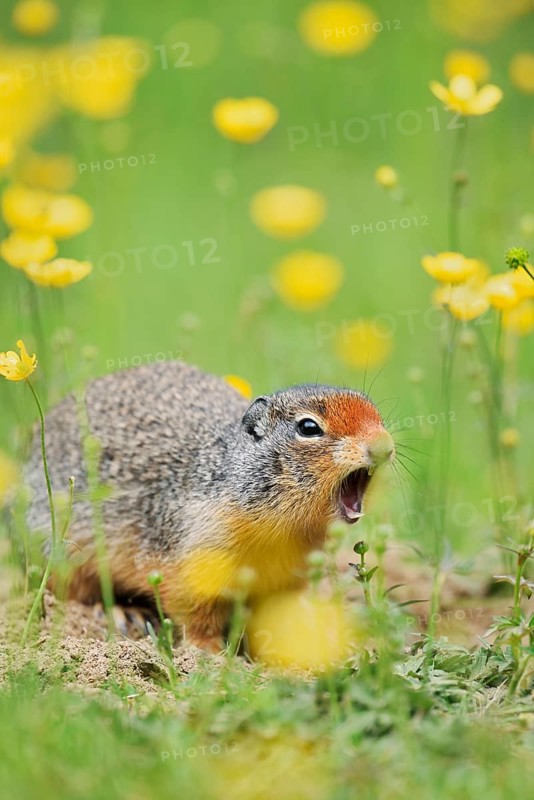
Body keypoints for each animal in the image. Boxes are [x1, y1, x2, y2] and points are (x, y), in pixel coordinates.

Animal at [25, 360, 395, 651]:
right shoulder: (193, 554)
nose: (384, 445)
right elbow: (195, 610)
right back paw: (120, 612)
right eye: (308, 427)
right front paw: (209, 654)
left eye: (377, 414)